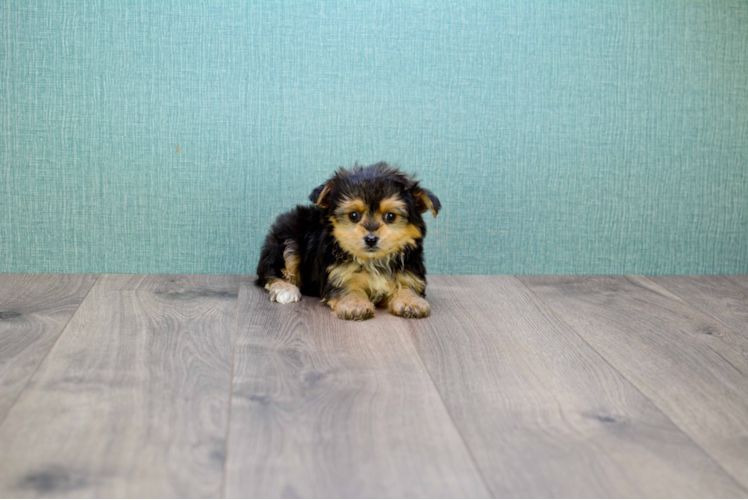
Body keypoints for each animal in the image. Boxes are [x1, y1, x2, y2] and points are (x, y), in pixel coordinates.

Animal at [254, 162, 442, 322]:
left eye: (390, 216)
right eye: (353, 215)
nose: (371, 239)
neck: (373, 261)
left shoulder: (409, 271)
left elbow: (407, 286)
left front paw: (411, 301)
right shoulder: (336, 274)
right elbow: (347, 288)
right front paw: (355, 305)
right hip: (287, 240)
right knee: (273, 271)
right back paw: (285, 289)